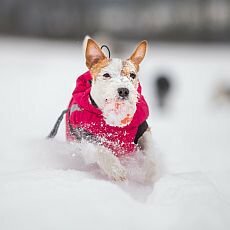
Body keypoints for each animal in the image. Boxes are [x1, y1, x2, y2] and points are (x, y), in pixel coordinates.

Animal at [49, 37, 155, 181]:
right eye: (106, 75)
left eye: (132, 75)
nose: (123, 90)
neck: (115, 118)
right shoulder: (87, 135)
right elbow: (101, 150)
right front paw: (115, 168)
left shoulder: (142, 129)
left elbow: (151, 151)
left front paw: (151, 172)